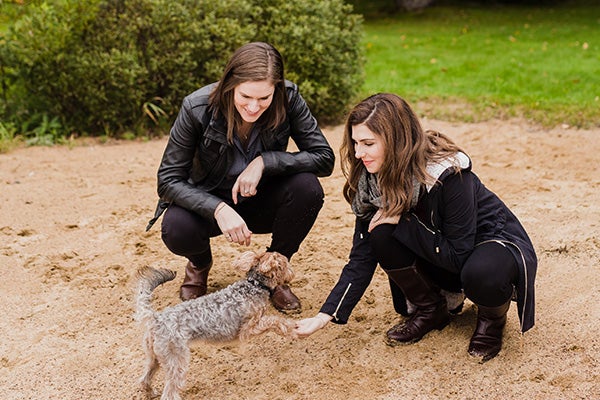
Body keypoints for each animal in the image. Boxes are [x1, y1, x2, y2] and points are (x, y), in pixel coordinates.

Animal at [135, 252, 296, 398]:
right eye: (285, 264)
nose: (292, 273)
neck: (254, 285)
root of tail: (156, 318)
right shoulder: (247, 330)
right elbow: (274, 321)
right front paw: (291, 328)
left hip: (155, 357)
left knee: (144, 379)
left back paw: (150, 392)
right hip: (176, 360)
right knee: (169, 392)